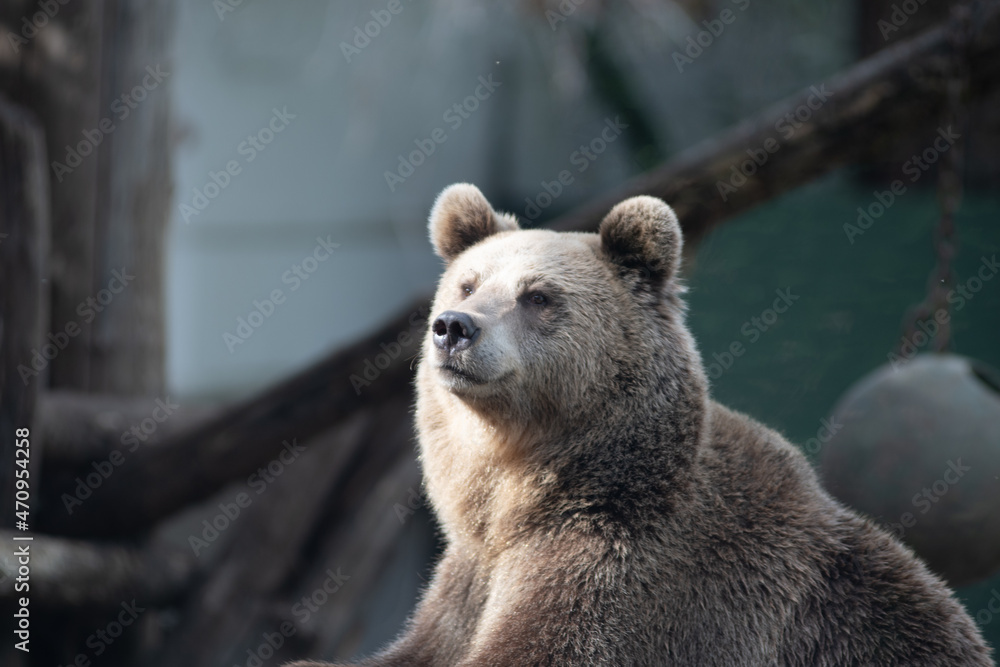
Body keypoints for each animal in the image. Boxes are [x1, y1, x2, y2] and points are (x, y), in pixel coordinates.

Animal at [289, 184, 992, 666]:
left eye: (538, 296)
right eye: (467, 283)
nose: (455, 328)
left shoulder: (631, 573)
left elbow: (545, 647)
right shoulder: (469, 578)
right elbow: (419, 648)